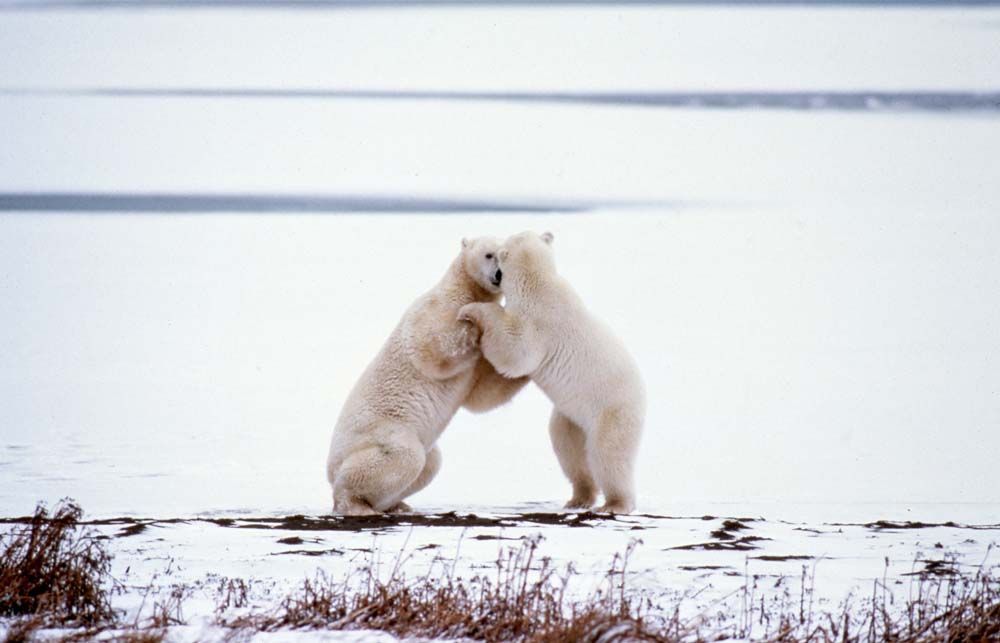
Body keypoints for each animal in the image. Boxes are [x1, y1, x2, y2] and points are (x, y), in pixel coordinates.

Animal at [326, 236, 529, 515]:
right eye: (490, 254)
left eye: (506, 255)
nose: (499, 275)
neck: (462, 287)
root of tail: (330, 467)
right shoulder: (434, 308)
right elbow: (432, 345)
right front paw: (475, 320)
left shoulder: (475, 370)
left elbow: (484, 394)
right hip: (382, 432)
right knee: (404, 457)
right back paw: (356, 504)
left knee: (430, 464)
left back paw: (397, 504)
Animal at [458, 231, 645, 514]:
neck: (539, 281)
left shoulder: (539, 321)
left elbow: (517, 351)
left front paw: (471, 312)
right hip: (571, 417)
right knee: (568, 448)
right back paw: (579, 497)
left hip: (612, 412)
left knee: (609, 455)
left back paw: (615, 504)